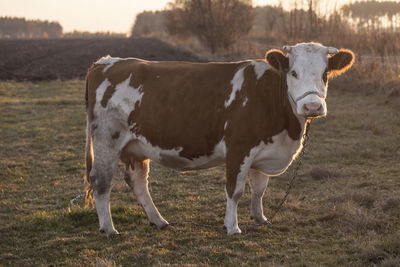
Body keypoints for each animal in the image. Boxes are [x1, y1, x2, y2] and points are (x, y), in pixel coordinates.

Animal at [84, 43, 354, 238]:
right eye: (294, 73)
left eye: (325, 74)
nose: (312, 107)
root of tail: (106, 62)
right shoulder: (239, 148)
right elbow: (235, 190)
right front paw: (232, 227)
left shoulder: (265, 150)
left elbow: (259, 189)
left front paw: (260, 218)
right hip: (107, 140)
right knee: (101, 182)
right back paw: (109, 229)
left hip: (135, 147)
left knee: (138, 182)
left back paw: (158, 221)